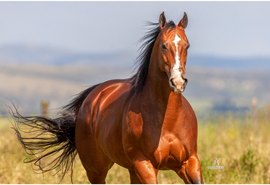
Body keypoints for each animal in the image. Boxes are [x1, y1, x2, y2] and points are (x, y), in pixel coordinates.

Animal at [12, 11, 202, 184]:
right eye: (163, 45)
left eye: (187, 46)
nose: (178, 82)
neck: (167, 121)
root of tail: (94, 95)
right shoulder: (145, 165)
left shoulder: (189, 162)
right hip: (97, 169)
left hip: (131, 169)